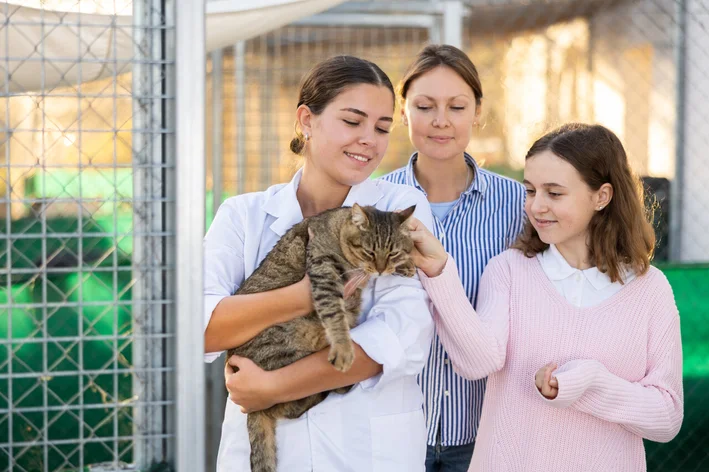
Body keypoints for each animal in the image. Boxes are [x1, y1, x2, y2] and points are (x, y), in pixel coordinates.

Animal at [225, 203, 414, 472]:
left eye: (392, 253)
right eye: (369, 253)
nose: (379, 269)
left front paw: (408, 264)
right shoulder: (324, 272)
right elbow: (334, 314)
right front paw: (344, 348)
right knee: (287, 405)